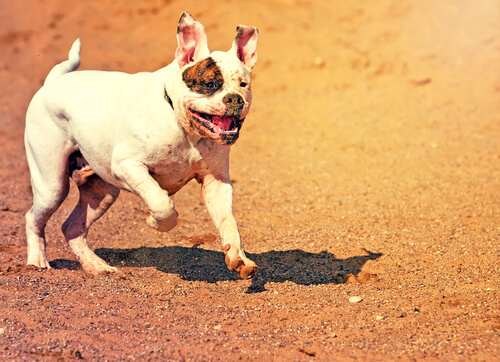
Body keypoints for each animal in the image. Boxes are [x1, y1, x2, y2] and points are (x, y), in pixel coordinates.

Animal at [23, 11, 260, 278]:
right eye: (210, 84)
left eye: (243, 85)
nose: (235, 99)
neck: (183, 129)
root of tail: (52, 82)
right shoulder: (128, 166)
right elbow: (161, 202)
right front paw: (157, 222)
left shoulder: (216, 183)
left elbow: (228, 222)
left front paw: (238, 257)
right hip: (52, 186)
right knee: (33, 218)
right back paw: (37, 261)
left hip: (101, 193)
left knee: (72, 227)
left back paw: (96, 266)